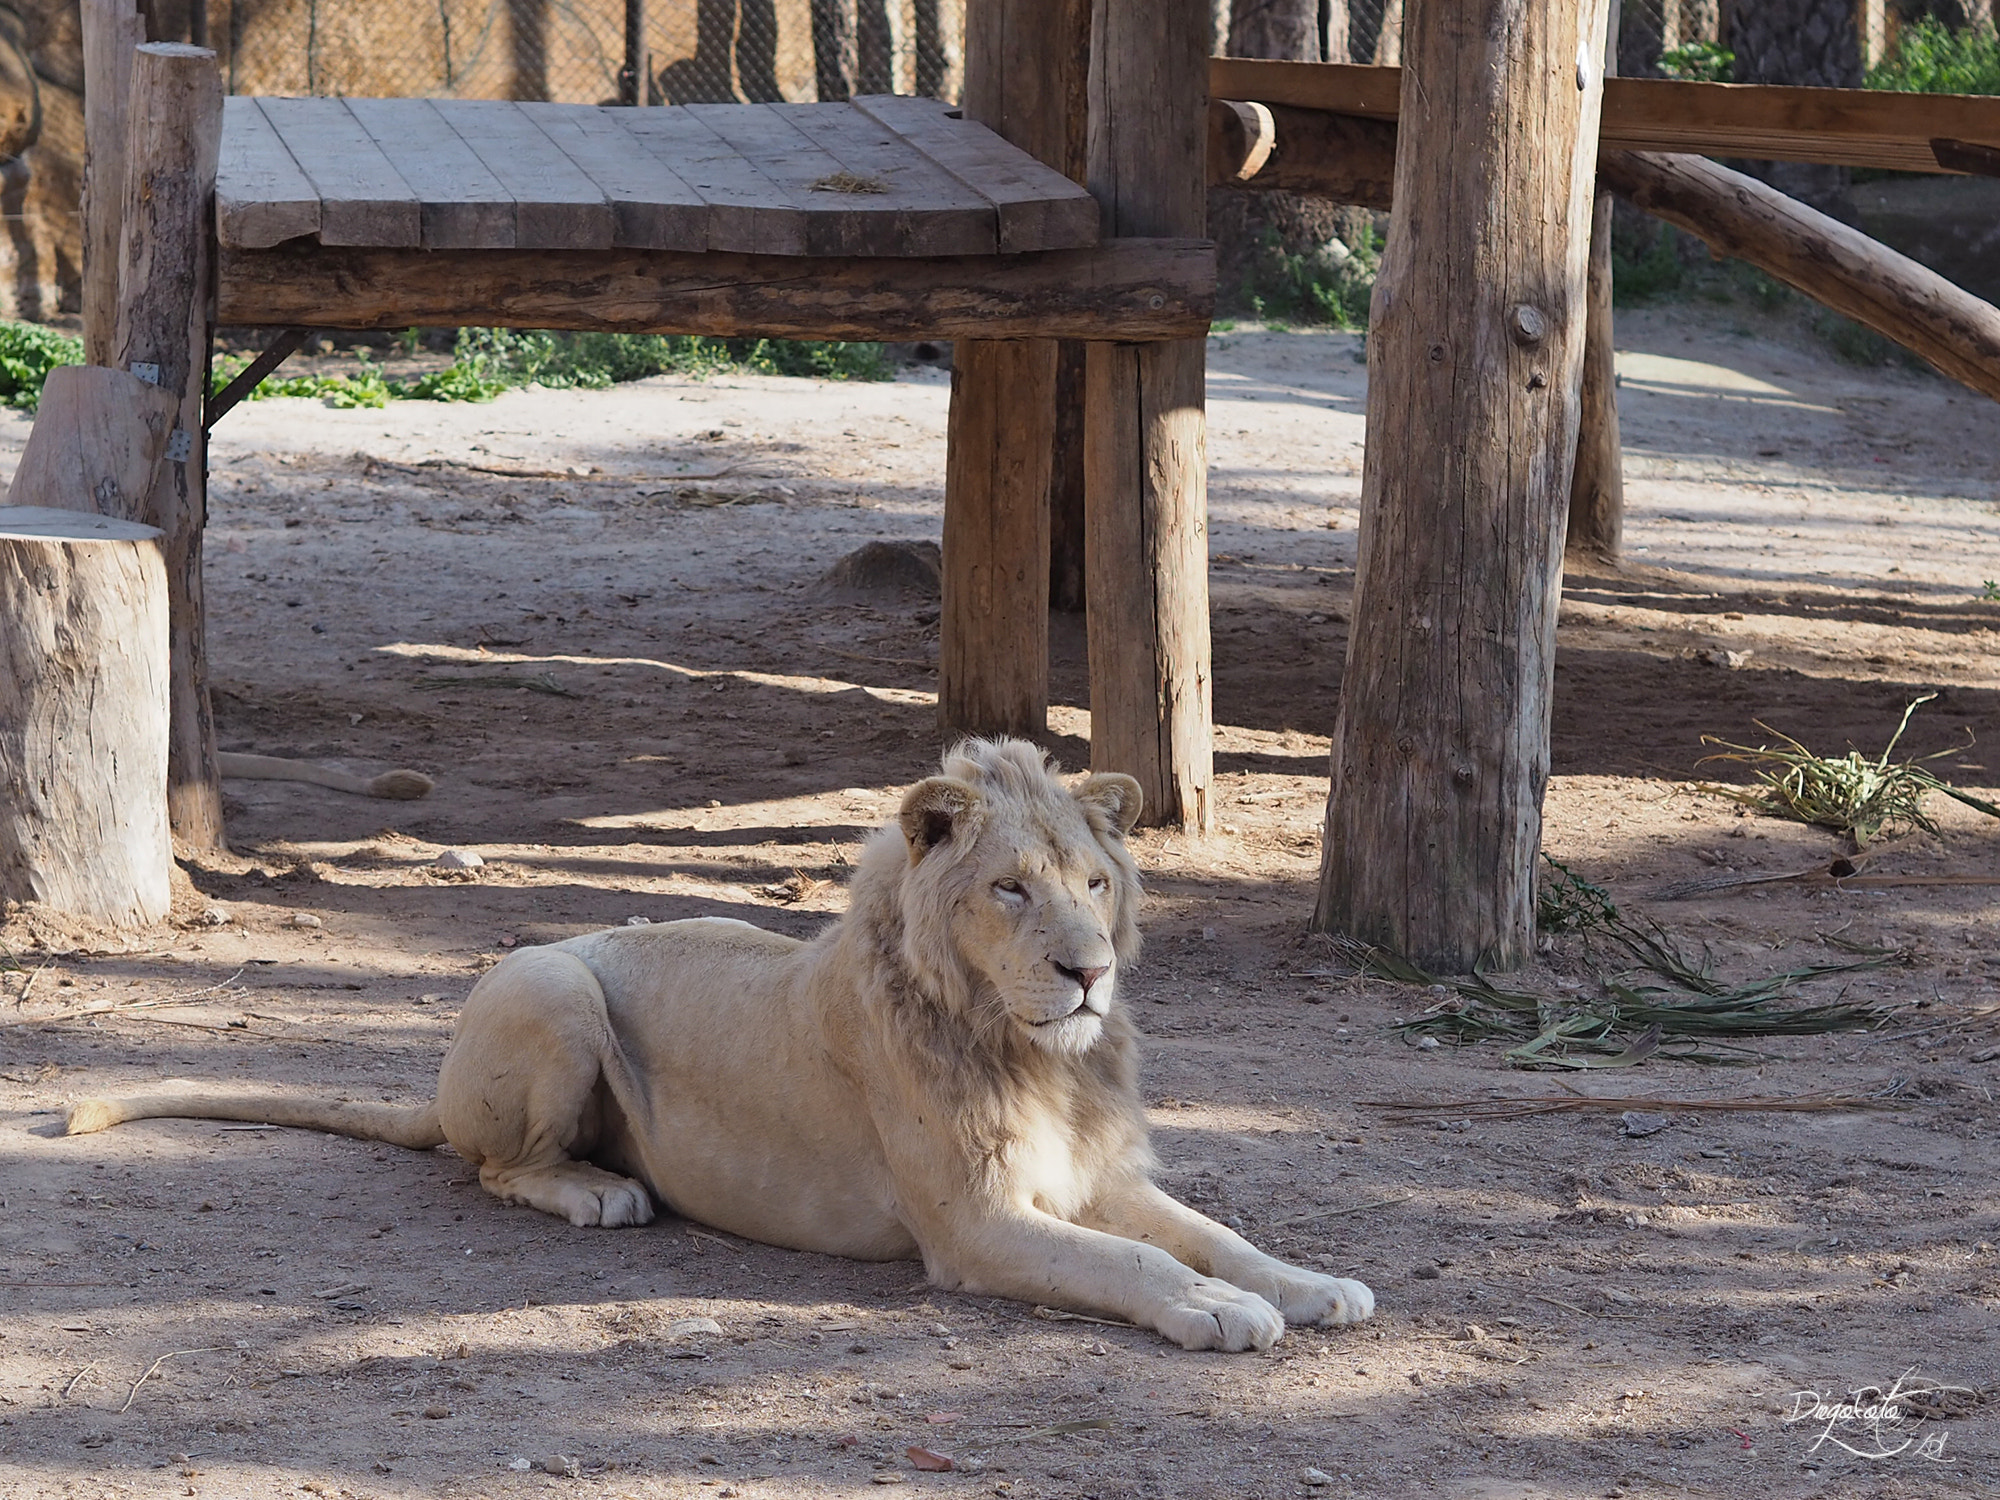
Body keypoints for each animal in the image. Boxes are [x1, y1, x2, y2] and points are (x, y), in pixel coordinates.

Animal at [66, 740, 1376, 1352]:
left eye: (1094, 884)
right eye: (1010, 889)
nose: (1087, 971)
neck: (1035, 1050)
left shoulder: (1092, 1175)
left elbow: (1215, 1234)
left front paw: (1310, 1286)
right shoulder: (974, 1226)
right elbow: (1141, 1265)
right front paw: (1217, 1313)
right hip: (552, 983)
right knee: (490, 1167)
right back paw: (600, 1193)